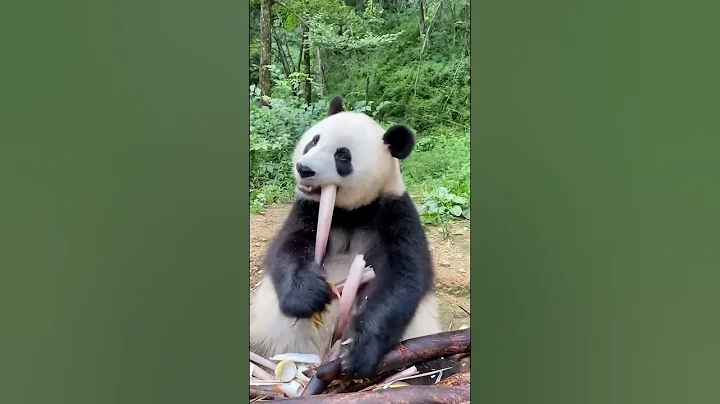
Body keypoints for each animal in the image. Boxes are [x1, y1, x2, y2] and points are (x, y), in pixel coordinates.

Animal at [250, 96, 458, 380]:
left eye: (342, 155)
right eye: (314, 141)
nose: (304, 169)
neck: (351, 211)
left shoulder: (395, 214)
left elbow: (402, 277)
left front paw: (356, 348)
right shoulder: (307, 209)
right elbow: (287, 248)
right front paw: (308, 294)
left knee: (439, 365)